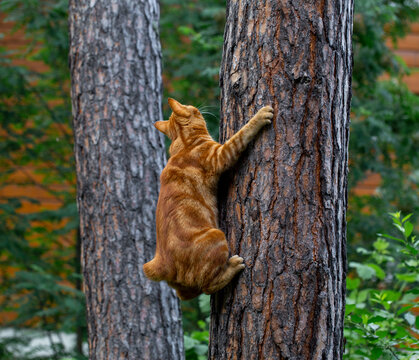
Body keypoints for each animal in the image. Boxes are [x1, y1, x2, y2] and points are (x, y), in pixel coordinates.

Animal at [143, 97, 274, 300]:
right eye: (193, 108)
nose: (199, 108)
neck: (184, 143)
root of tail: (160, 263)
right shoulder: (221, 154)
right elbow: (242, 134)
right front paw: (260, 116)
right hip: (216, 236)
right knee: (208, 286)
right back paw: (233, 267)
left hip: (183, 289)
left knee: (187, 294)